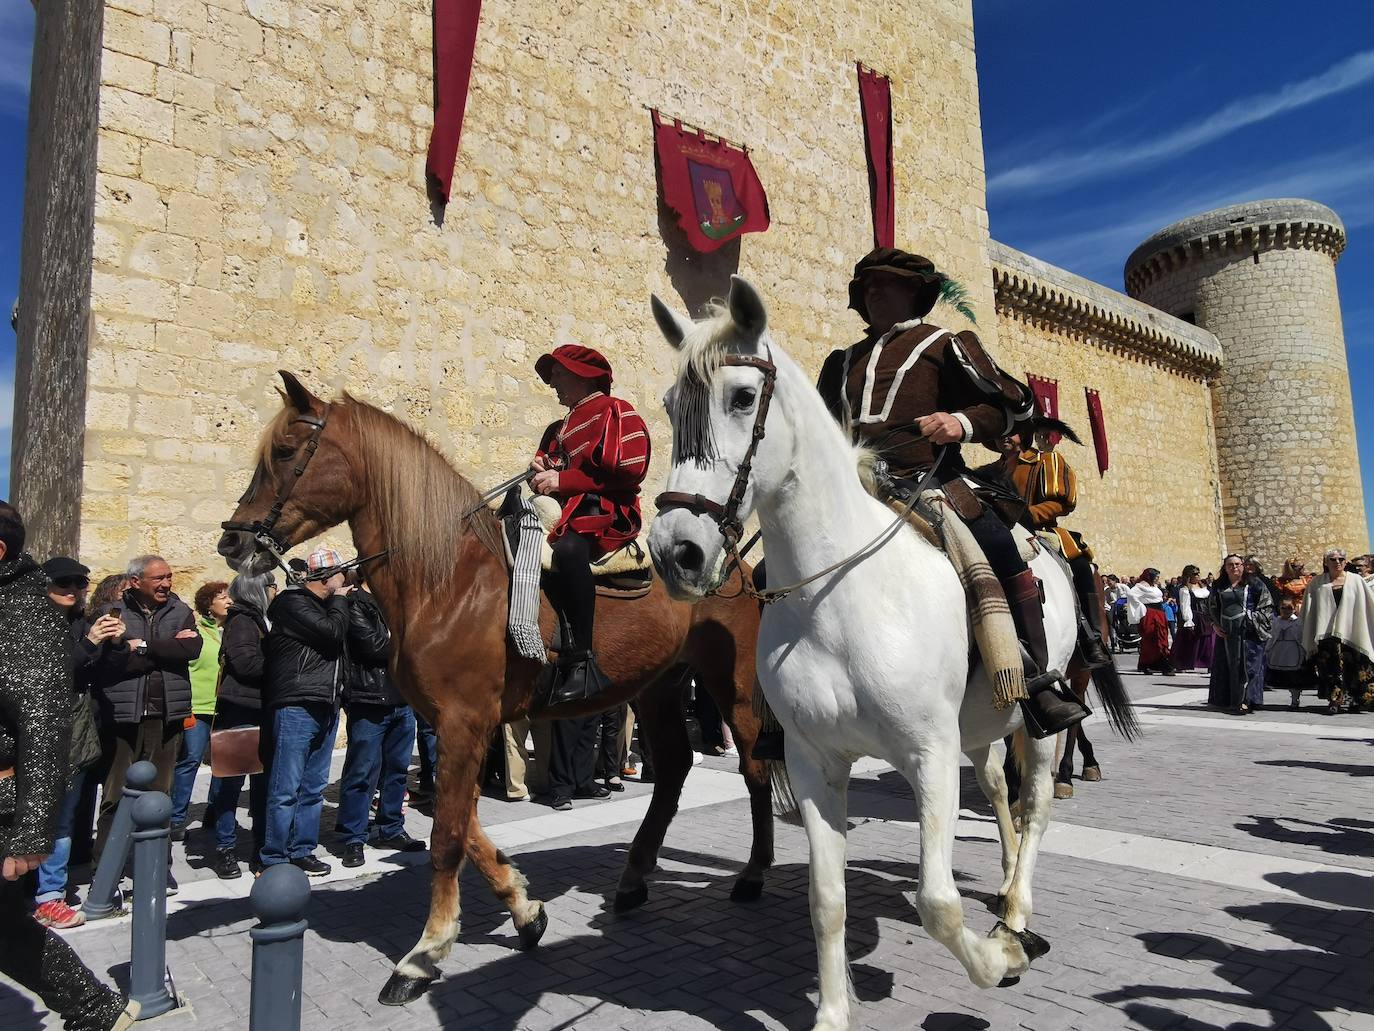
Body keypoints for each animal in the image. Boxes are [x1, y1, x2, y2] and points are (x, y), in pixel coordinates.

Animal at [219, 373, 769, 1011]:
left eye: (285, 452)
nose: (233, 542)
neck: (448, 581)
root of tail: (730, 558)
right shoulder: (456, 728)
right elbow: (468, 829)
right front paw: (525, 910)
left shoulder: (463, 723)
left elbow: (447, 837)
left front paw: (423, 954)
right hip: (657, 688)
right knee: (675, 767)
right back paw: (633, 880)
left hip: (731, 686)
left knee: (755, 768)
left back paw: (753, 874)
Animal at [645, 279, 1137, 1031]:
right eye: (673, 406)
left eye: (742, 397)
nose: (678, 551)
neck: (838, 598)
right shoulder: (814, 762)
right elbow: (826, 901)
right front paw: (832, 1014)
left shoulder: (926, 754)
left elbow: (938, 903)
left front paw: (999, 959)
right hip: (982, 730)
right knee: (999, 791)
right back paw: (1004, 883)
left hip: (1041, 718)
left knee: (1035, 806)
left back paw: (1018, 914)